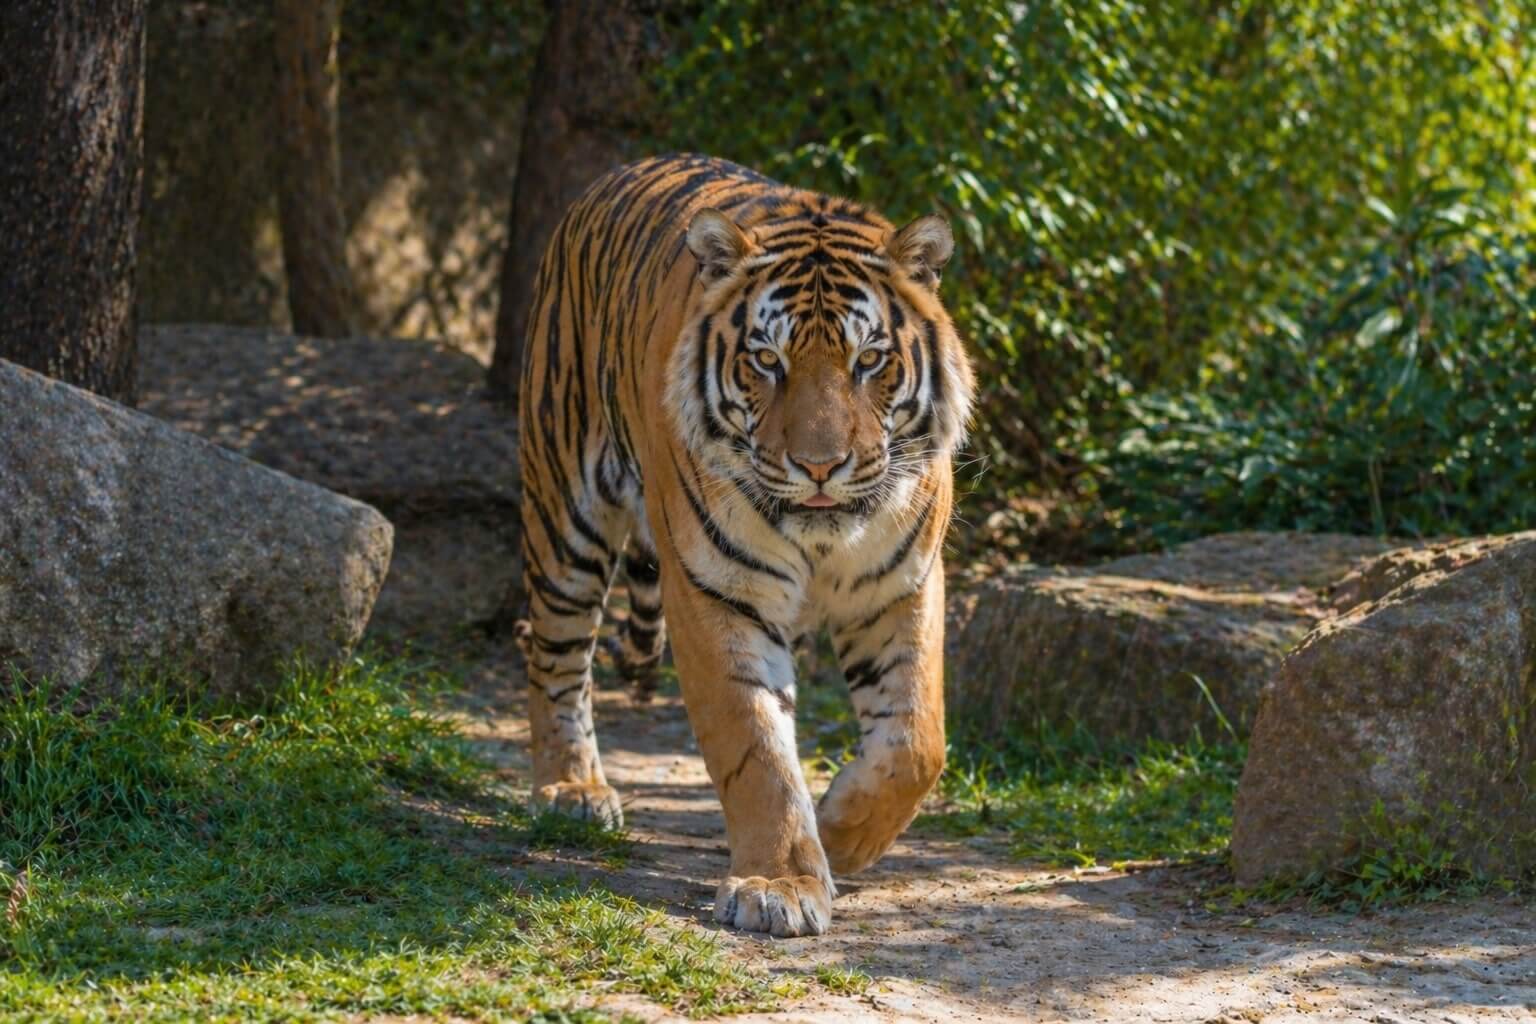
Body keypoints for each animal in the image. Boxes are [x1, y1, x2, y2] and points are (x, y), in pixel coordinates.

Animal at [517, 153, 975, 938]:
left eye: (869, 360)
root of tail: (623, 170)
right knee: (555, 656)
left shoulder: (901, 585)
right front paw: (780, 884)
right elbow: (756, 748)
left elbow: (917, 742)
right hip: (563, 515)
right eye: (767, 360)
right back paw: (572, 789)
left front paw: (841, 834)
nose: (820, 466)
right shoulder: (715, 592)